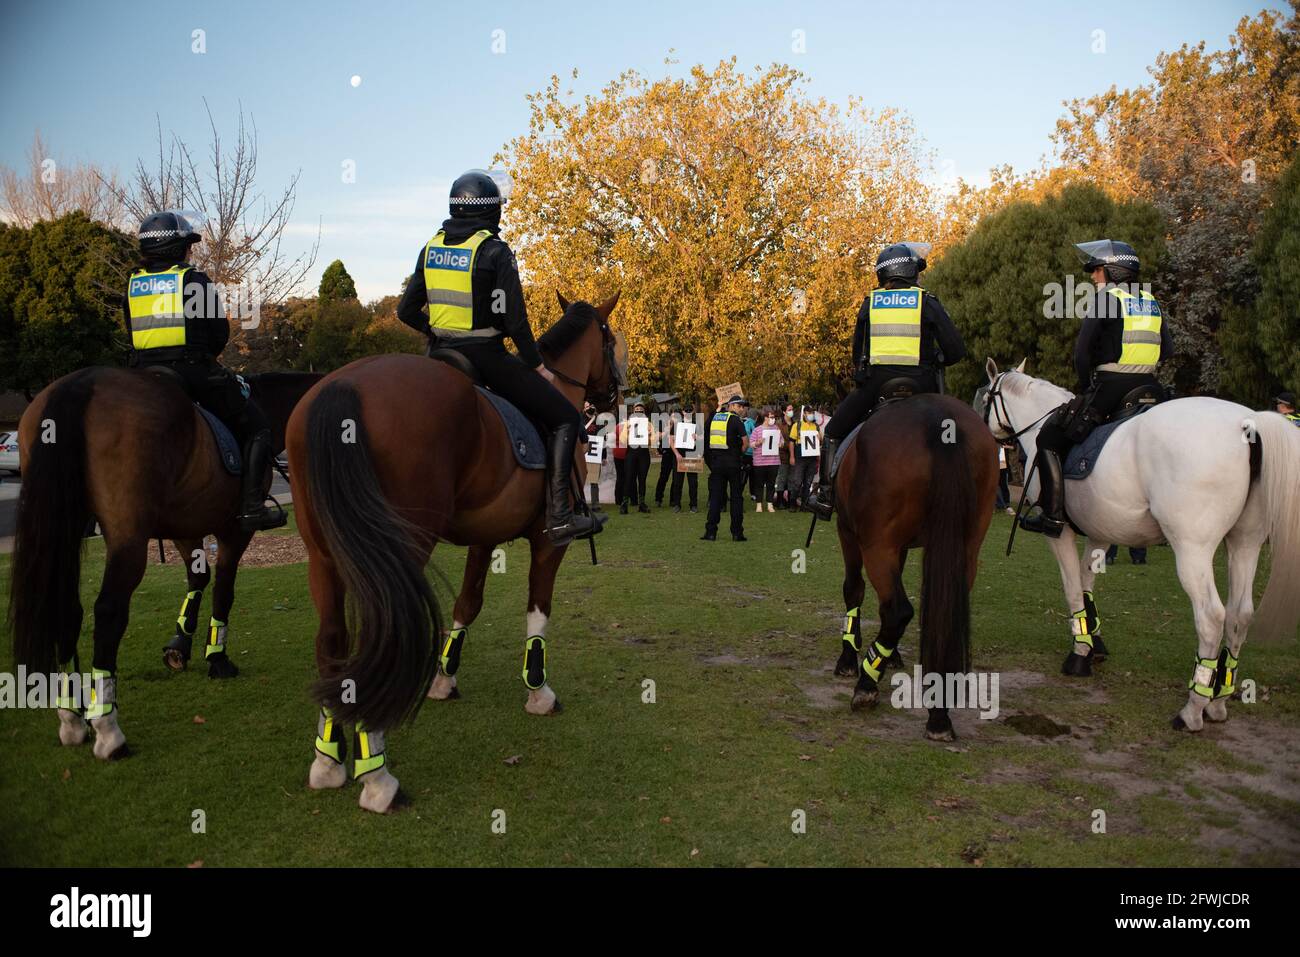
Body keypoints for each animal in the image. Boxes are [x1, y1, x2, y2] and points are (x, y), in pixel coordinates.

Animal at [6, 364, 319, 754]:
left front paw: (179, 646)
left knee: (66, 608)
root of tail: (83, 382)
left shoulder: (187, 527)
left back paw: (72, 717)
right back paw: (108, 728)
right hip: (128, 535)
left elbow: (198, 579)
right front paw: (217, 657)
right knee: (109, 611)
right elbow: (224, 589)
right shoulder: (235, 531)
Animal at [287, 293, 621, 816]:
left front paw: (445, 679)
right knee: (384, 637)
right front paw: (539, 690)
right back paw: (378, 779)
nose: (614, 393)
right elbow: (538, 608)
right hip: (400, 549)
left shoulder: (484, 538)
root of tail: (344, 383)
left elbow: (467, 604)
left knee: (332, 643)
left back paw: (328, 763)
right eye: (609, 339)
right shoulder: (550, 541)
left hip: (323, 556)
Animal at [826, 395, 998, 738]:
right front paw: (889, 656)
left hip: (876, 545)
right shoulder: (901, 547)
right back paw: (939, 712)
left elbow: (854, 591)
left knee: (897, 611)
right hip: (966, 547)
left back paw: (867, 686)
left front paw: (850, 659)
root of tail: (937, 418)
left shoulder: (849, 532)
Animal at [982, 361, 1300, 728]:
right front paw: (1094, 644)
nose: (989, 440)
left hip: (1192, 549)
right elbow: (1087, 584)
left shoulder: (1058, 533)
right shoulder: (1100, 533)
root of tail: (1246, 423)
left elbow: (1073, 589)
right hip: (1245, 544)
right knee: (1239, 615)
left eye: (985, 398)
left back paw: (1193, 709)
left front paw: (1079, 654)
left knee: (1211, 617)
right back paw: (1218, 702)